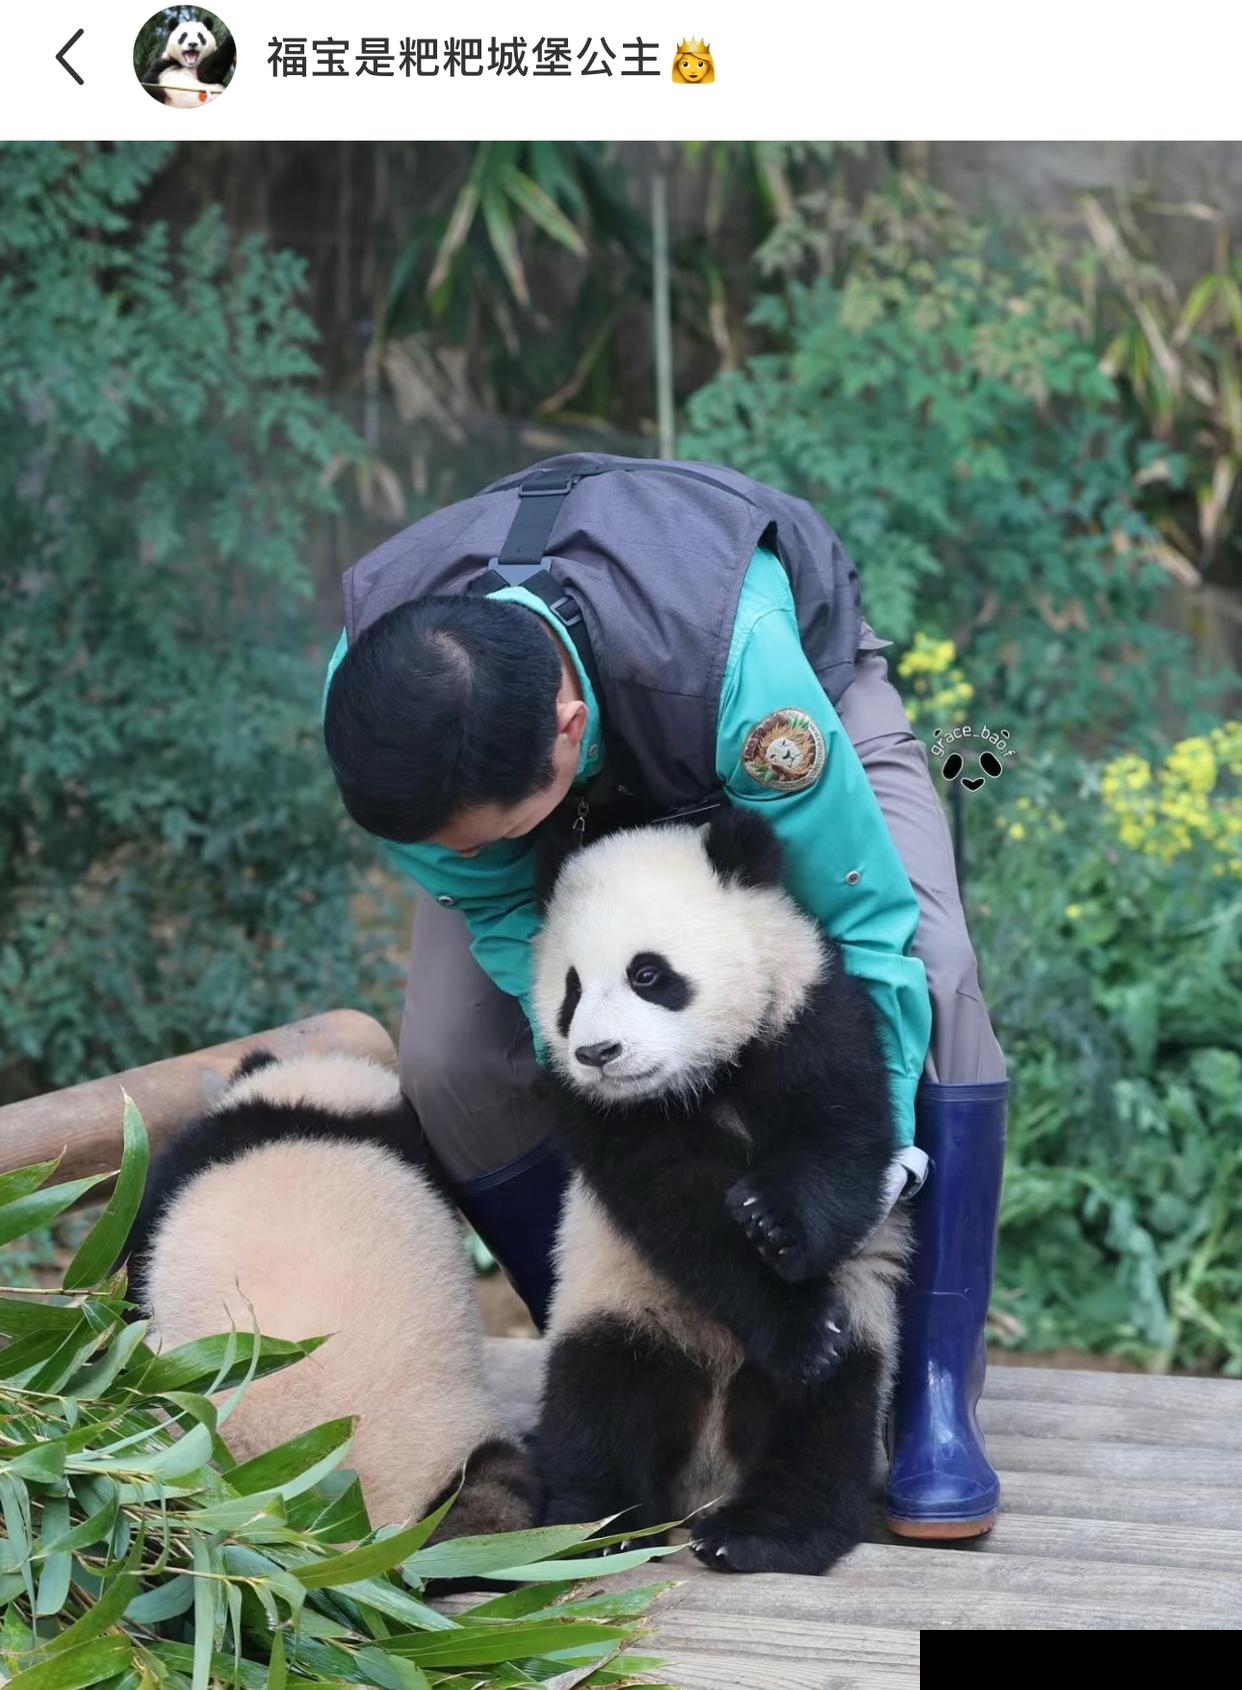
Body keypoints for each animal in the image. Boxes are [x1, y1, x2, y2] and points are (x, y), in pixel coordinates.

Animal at [530, 804, 905, 1568]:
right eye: (571, 992)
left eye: (648, 974)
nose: (598, 1053)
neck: (702, 1078)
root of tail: (707, 1472)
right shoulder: (605, 1117)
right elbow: (680, 1214)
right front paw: (795, 1320)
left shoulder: (810, 1013)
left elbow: (842, 1140)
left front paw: (771, 1221)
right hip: (623, 1310)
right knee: (595, 1398)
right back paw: (591, 1529)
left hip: (862, 1332)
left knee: (823, 1424)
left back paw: (759, 1533)